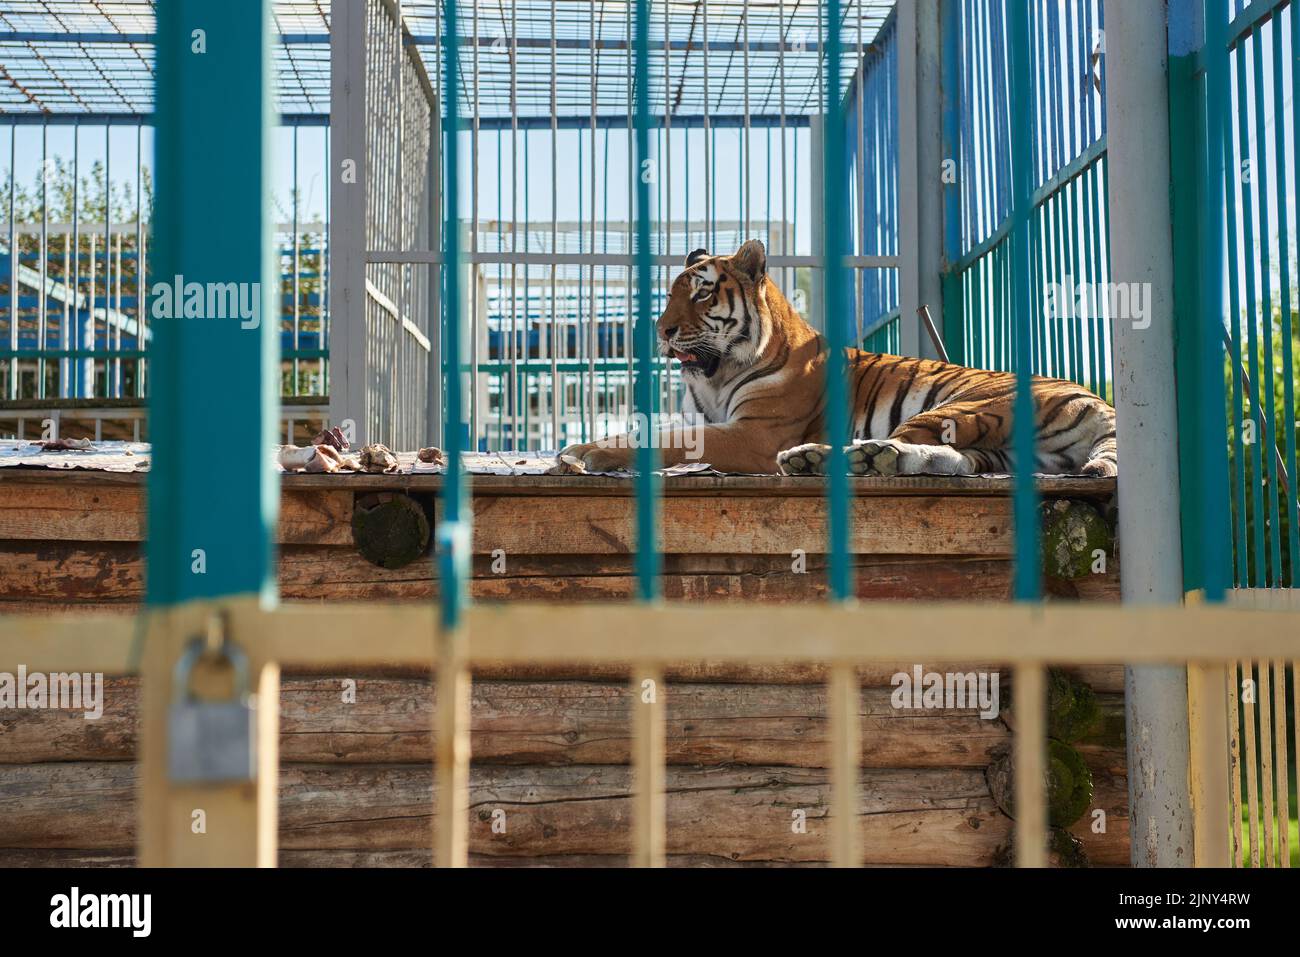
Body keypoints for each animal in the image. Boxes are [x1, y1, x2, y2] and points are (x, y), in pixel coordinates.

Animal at [553, 239, 1112, 478]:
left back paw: (819, 457)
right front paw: (582, 448)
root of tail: (1097, 402)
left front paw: (589, 453)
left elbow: (666, 442)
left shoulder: (755, 434)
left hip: (963, 406)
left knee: (905, 444)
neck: (715, 376)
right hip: (1007, 452)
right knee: (953, 462)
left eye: (703, 293)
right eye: (670, 294)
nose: (661, 330)